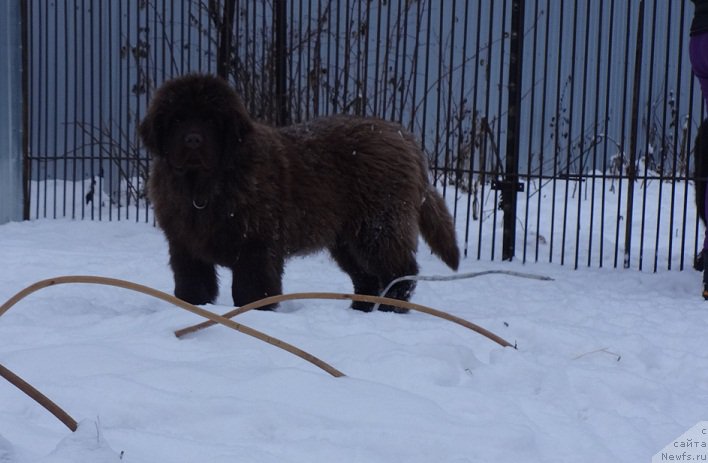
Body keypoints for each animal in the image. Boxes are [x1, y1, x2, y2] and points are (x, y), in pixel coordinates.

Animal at [140, 74, 460, 314]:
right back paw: (360, 309)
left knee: (400, 269)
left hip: (378, 225)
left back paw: (391, 309)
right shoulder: (185, 244)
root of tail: (403, 137)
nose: (193, 141)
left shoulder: (256, 245)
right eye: (177, 119)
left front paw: (253, 314)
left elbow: (251, 289)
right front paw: (194, 308)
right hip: (347, 237)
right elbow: (193, 284)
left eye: (210, 120)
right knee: (367, 276)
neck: (203, 186)